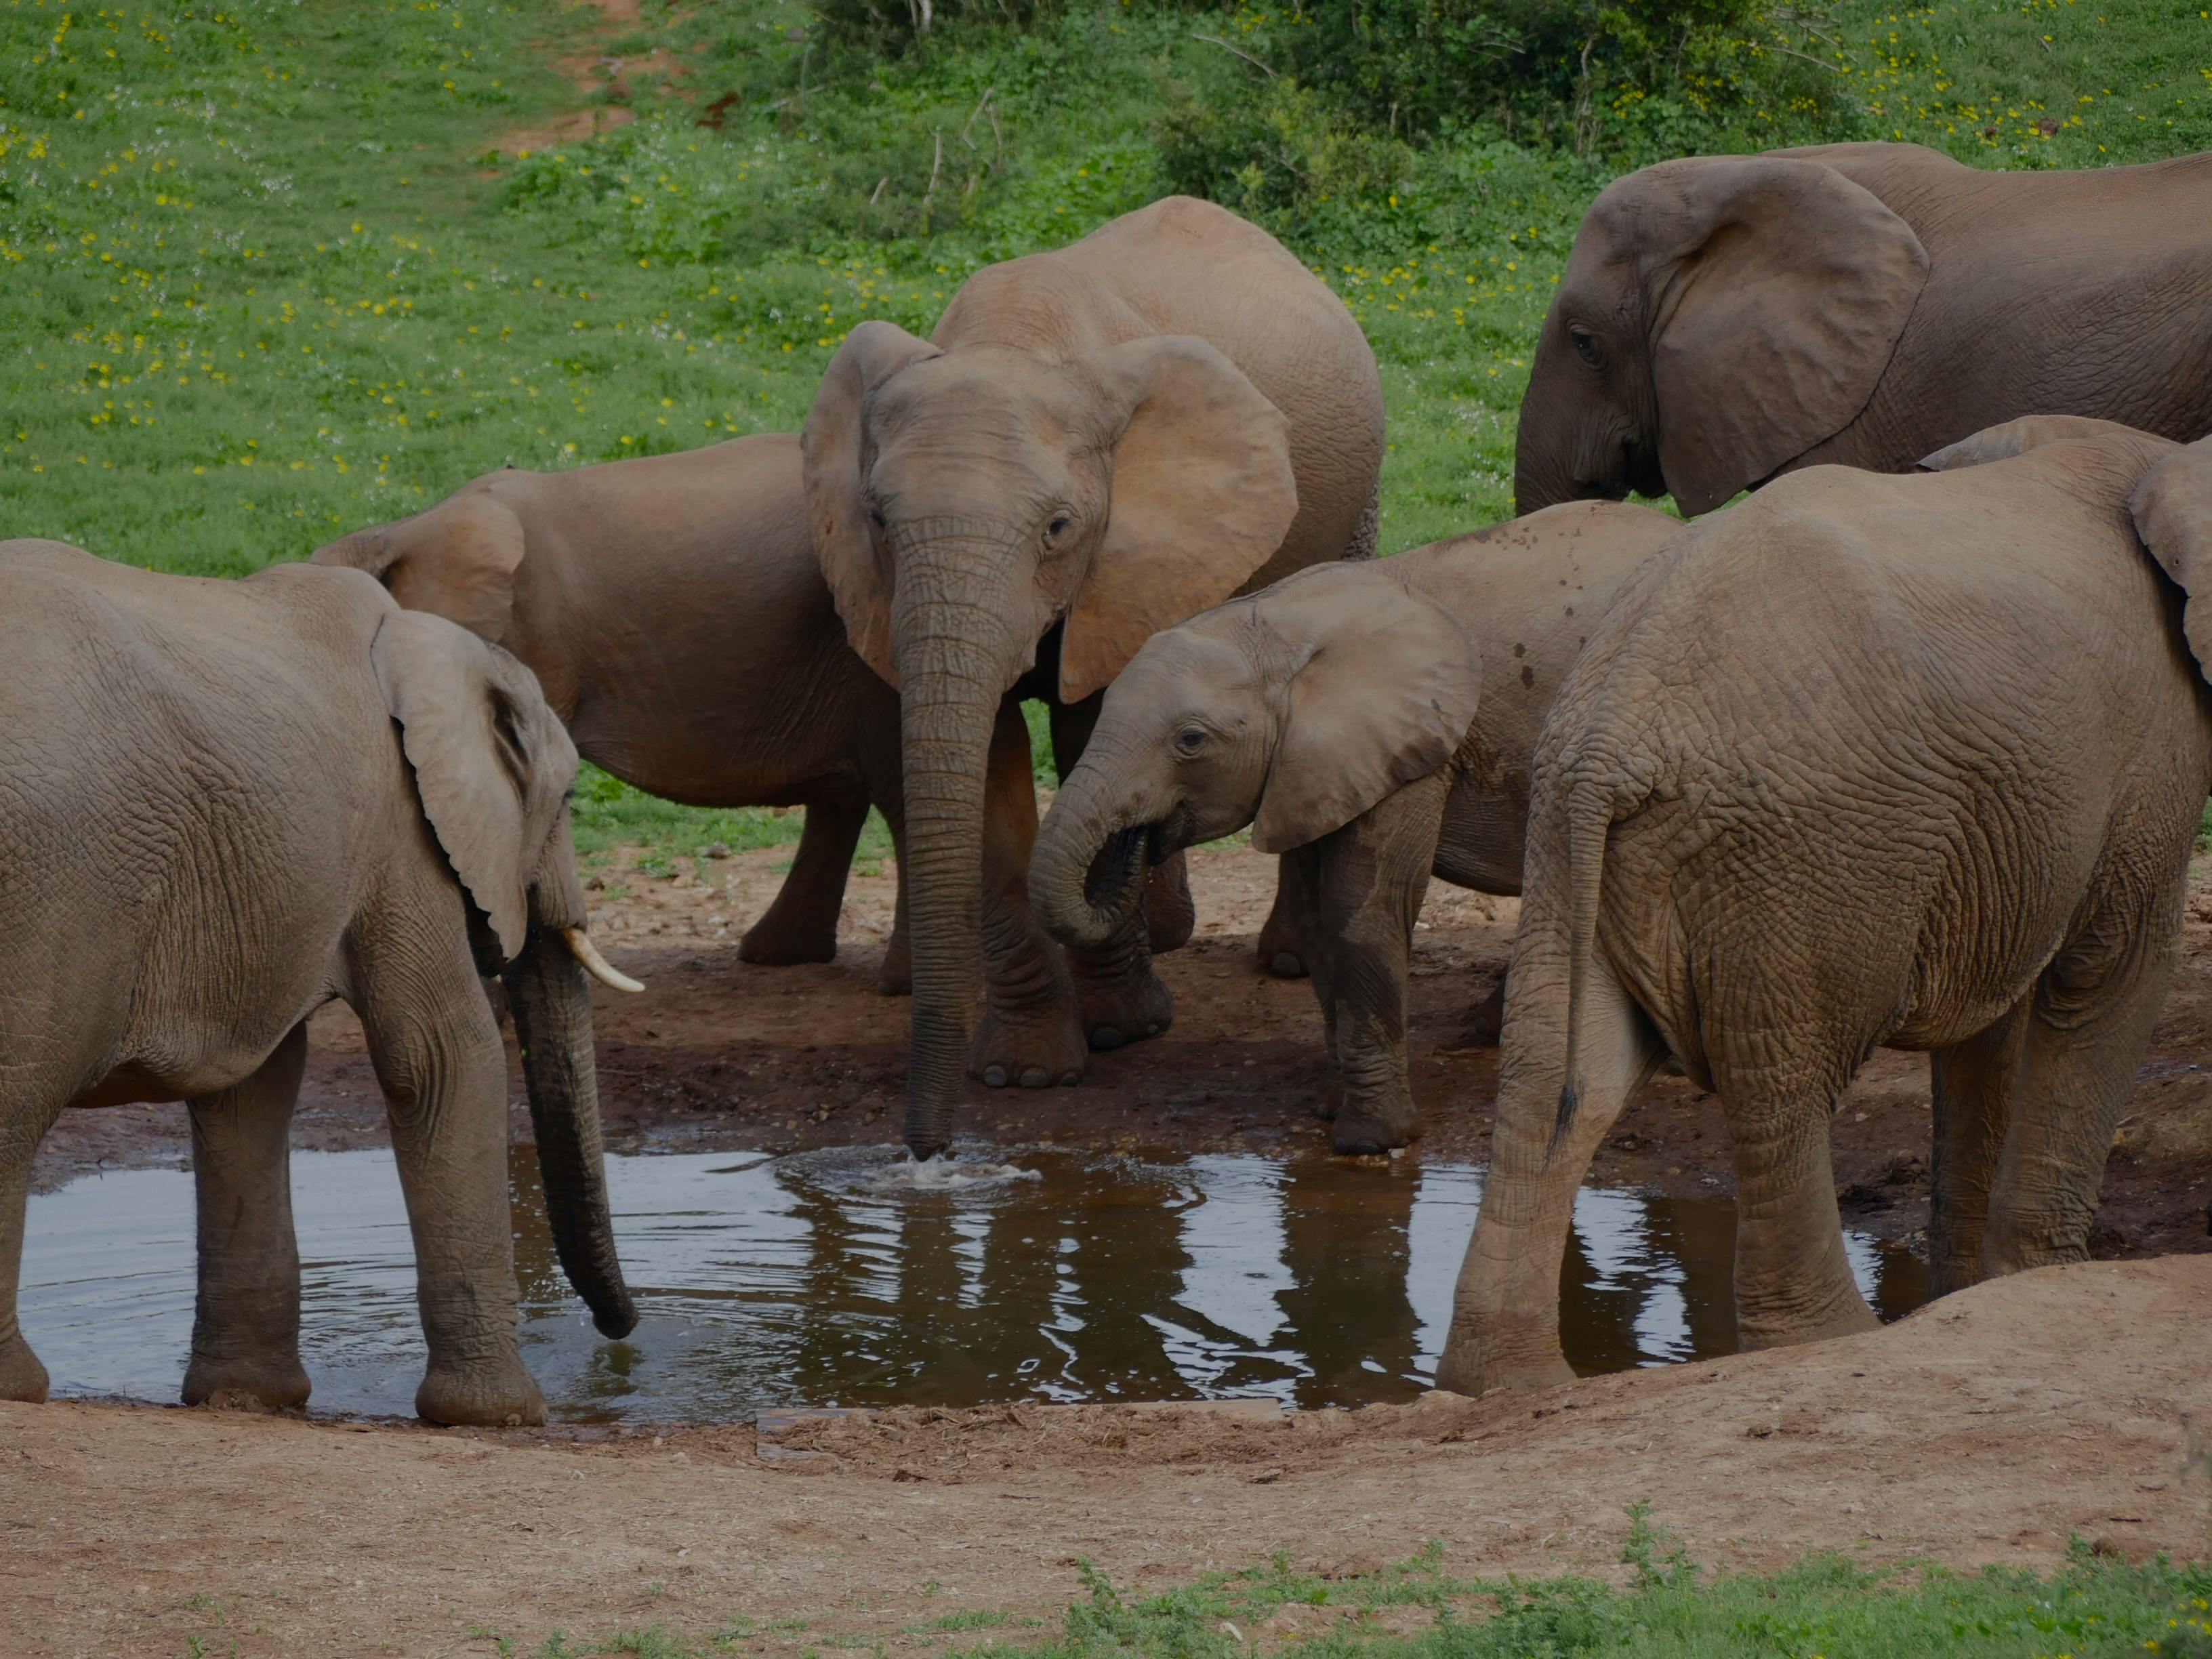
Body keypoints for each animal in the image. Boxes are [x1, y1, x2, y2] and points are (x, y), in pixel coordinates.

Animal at [0, 540, 643, 1426]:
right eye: (572, 795)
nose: (622, 1335)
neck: (431, 640)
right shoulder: (402, 835)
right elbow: (442, 1054)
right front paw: (502, 1416)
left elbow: (253, 1089)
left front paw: (247, 1401)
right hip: (51, 881)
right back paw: (20, 1386)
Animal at [803, 194, 1386, 1158]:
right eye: (879, 521)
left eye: (1059, 528)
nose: (928, 1153)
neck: (1014, 340)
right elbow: (993, 762)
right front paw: (1026, 1074)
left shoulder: (1134, 556)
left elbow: (1093, 730)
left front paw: (1123, 1030)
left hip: (1355, 499)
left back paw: (1280, 960)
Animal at [1030, 501, 1682, 1153]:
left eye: (1190, 741)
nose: (1137, 839)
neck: (1274, 626)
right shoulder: (1313, 768)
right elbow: (1320, 920)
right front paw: (1330, 1108)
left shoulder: (1411, 752)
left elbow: (1360, 912)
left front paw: (1371, 1139)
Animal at [1435, 419, 2212, 1397]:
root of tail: (1616, 725)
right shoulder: (2152, 759)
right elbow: (2109, 980)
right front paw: (2028, 1290)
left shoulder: (1999, 820)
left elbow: (1988, 1027)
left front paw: (1966, 1299)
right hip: (1801, 854)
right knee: (1789, 1084)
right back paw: (1831, 1339)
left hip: (1571, 830)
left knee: (1560, 1071)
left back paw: (1510, 1382)